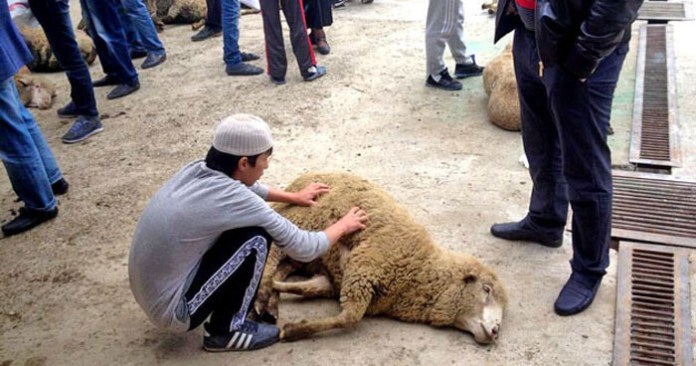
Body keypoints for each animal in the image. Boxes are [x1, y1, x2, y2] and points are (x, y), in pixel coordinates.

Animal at [254, 173, 506, 344]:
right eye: (486, 290)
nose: (495, 332)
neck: (421, 268)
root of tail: (303, 178)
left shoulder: (338, 281)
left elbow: (307, 288)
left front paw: (280, 298)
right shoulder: (363, 267)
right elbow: (350, 318)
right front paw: (294, 330)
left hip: (302, 255)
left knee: (280, 267)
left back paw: (270, 303)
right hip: (297, 221)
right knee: (272, 254)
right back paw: (261, 297)